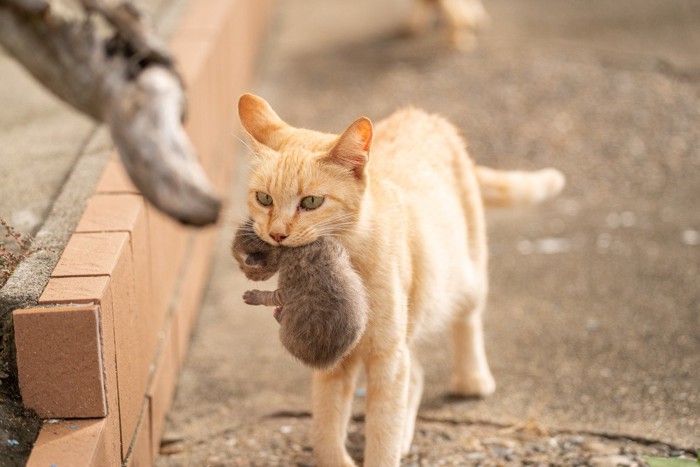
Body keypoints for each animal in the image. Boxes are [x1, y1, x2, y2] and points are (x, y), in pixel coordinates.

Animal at [232, 221, 370, 372]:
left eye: (244, 268)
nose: (248, 277)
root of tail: (328, 361)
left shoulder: (289, 284)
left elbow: (272, 296)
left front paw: (254, 296)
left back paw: (279, 314)